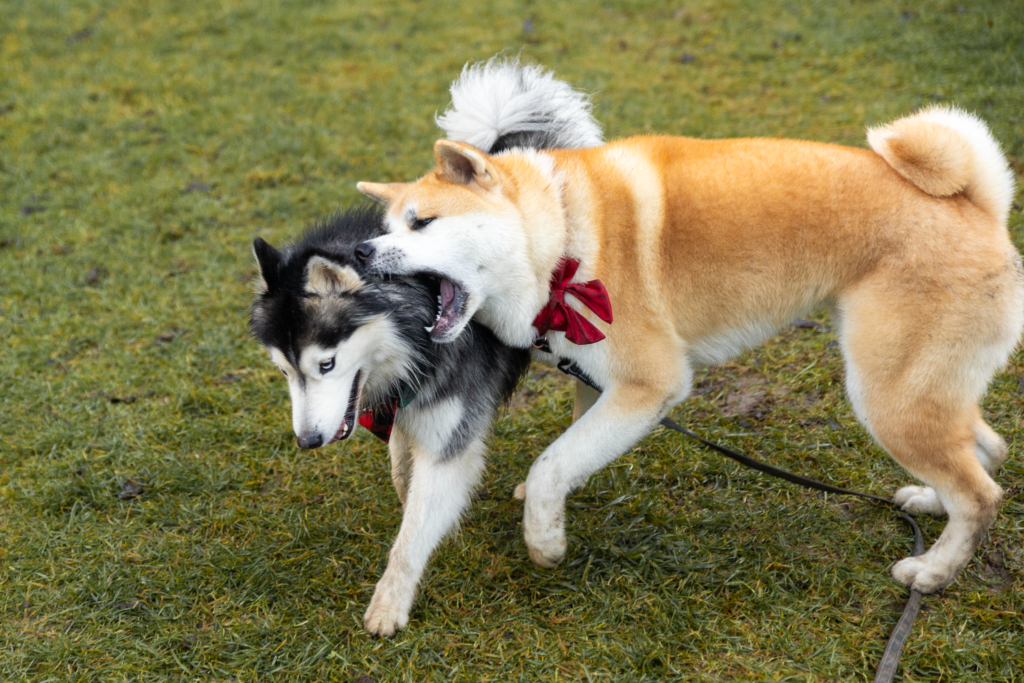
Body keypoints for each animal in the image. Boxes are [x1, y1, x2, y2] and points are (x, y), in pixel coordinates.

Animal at [356, 105, 1019, 593]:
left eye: (421, 222)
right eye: (385, 226)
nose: (361, 251)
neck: (562, 234)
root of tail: (976, 203)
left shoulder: (652, 384)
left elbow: (550, 463)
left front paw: (544, 541)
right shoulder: (600, 382)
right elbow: (568, 452)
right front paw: (554, 509)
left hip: (885, 397)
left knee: (981, 495)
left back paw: (932, 572)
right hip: (920, 390)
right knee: (984, 448)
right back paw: (930, 503)